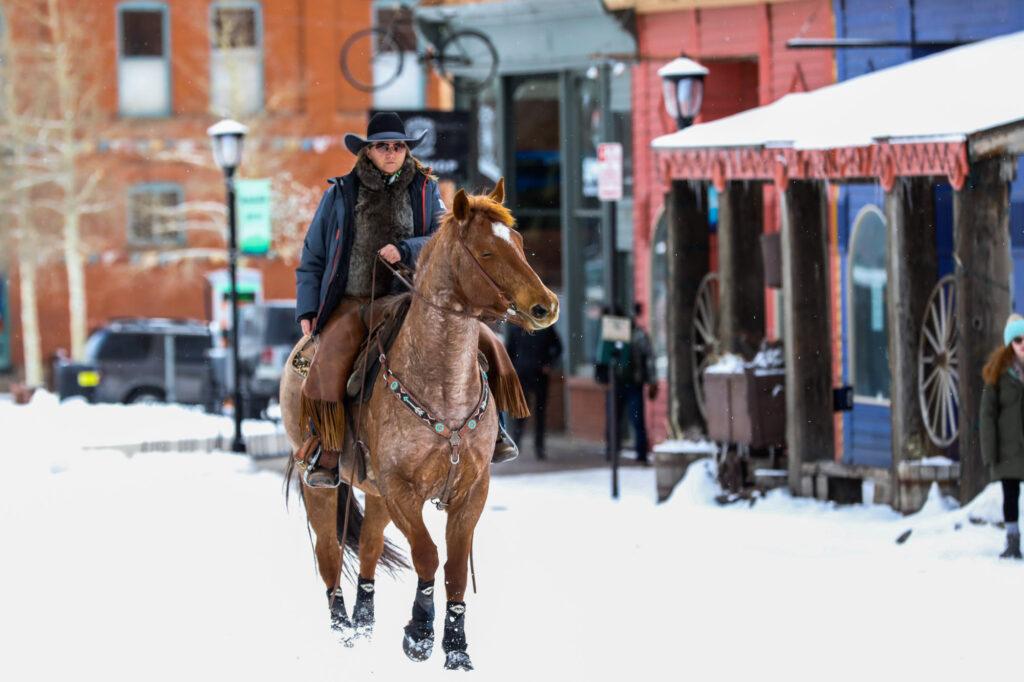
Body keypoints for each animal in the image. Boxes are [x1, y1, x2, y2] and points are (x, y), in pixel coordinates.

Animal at [278, 178, 561, 667]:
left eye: (519, 241)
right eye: (486, 252)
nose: (546, 306)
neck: (442, 385)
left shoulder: (471, 489)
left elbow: (455, 567)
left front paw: (456, 647)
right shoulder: (401, 488)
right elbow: (427, 555)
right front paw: (420, 634)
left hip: (373, 491)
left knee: (369, 547)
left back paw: (364, 621)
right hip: (324, 485)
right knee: (329, 552)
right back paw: (341, 628)